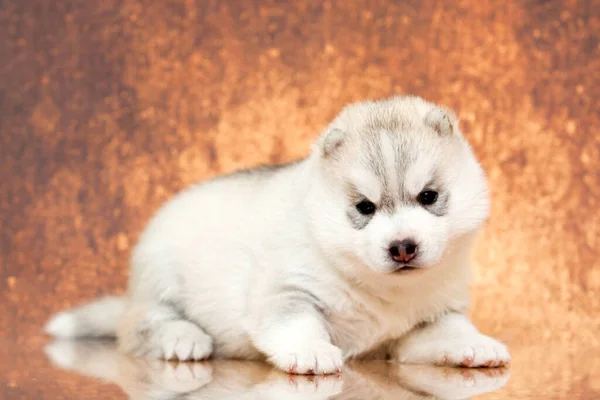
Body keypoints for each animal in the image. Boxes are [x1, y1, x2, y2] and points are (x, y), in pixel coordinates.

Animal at [45, 96, 510, 376]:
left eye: (429, 196)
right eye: (365, 208)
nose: (402, 248)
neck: (383, 291)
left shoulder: (432, 315)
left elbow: (450, 330)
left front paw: (476, 345)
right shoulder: (288, 290)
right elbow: (297, 322)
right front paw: (311, 351)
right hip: (160, 280)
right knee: (141, 326)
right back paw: (183, 338)